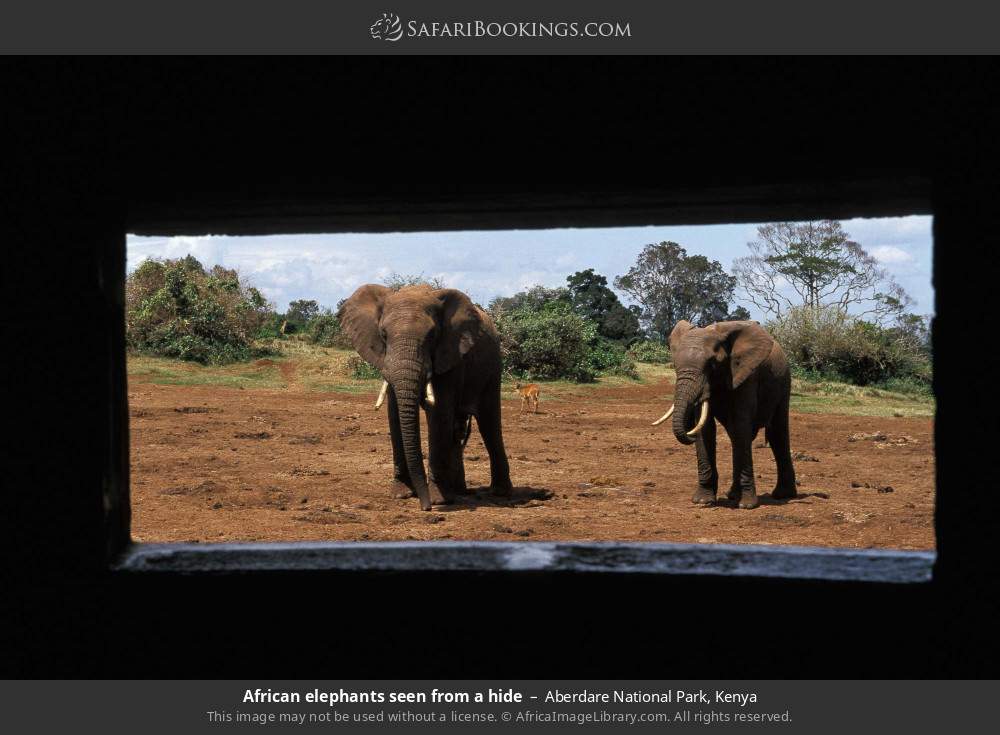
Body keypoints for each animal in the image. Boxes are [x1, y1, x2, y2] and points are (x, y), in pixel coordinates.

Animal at [338, 284, 513, 510]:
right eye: (383, 334)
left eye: (432, 335)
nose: (425, 506)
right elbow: (394, 413)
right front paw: (401, 494)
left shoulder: (450, 354)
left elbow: (439, 414)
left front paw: (439, 499)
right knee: (458, 429)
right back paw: (458, 490)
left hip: (492, 367)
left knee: (489, 424)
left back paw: (500, 493)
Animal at [652, 320, 797, 509]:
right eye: (675, 365)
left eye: (712, 364)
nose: (688, 432)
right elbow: (705, 427)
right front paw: (702, 501)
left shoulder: (746, 374)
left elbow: (741, 422)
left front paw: (747, 506)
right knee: (736, 436)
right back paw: (733, 495)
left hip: (784, 381)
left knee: (776, 433)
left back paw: (782, 495)